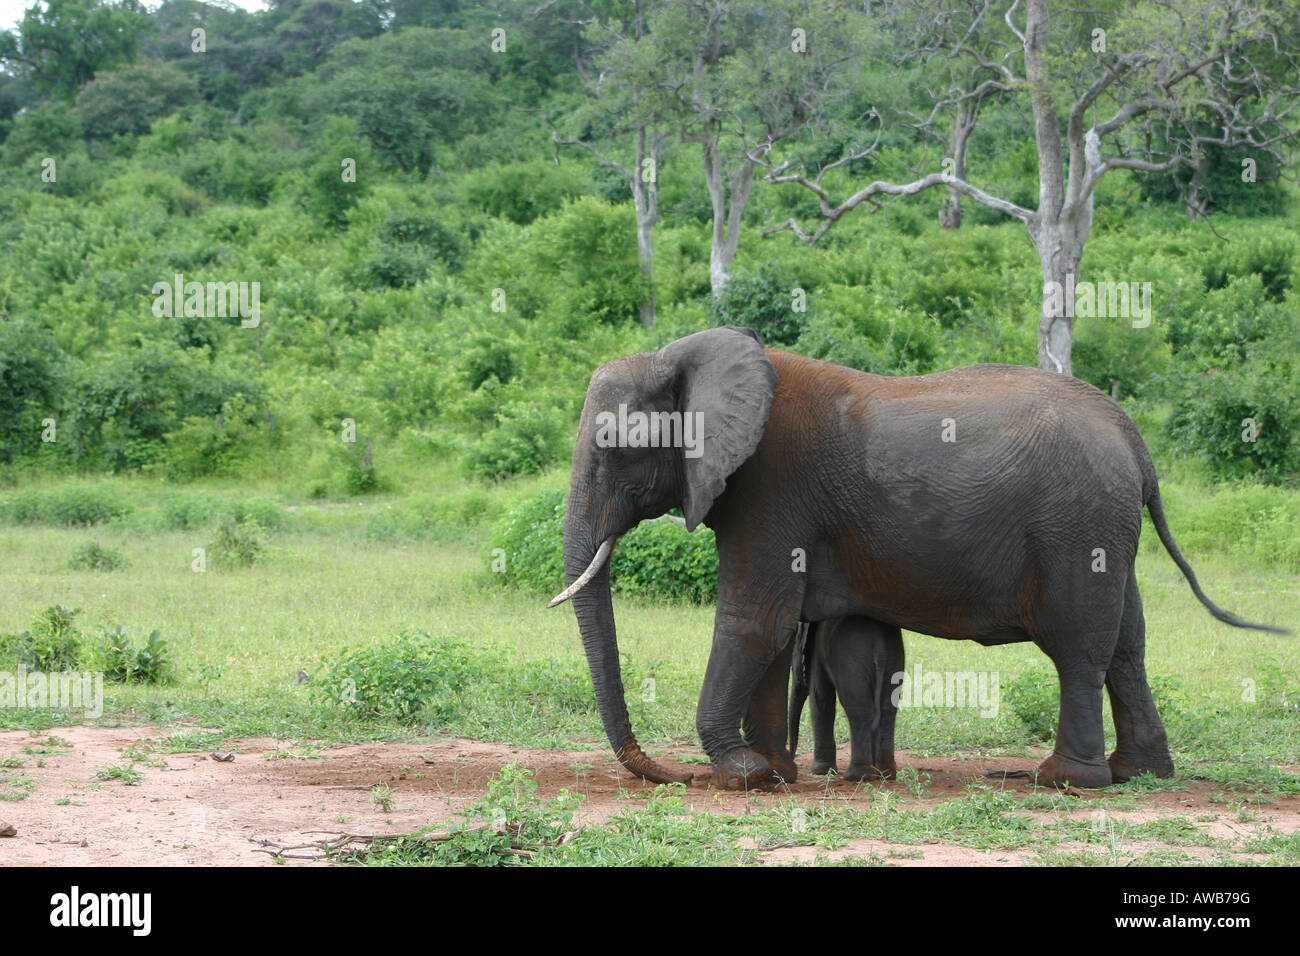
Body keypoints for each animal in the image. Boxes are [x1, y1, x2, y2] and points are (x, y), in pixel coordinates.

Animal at [788, 616, 904, 781]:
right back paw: (885, 774)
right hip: (894, 660)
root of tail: (881, 648)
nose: (792, 758)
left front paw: (820, 771)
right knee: (887, 710)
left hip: (852, 664)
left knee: (858, 710)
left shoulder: (817, 655)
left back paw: (857, 776)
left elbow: (820, 700)